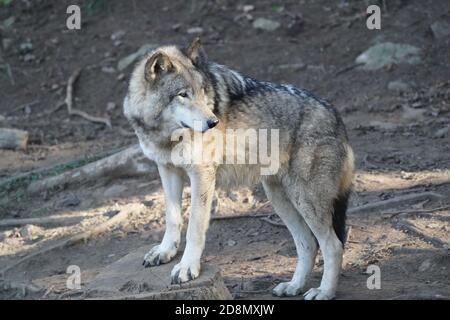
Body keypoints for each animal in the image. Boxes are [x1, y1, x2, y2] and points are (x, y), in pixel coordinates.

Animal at [124, 38, 356, 300]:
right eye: (183, 95)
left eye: (202, 93)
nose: (213, 122)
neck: (165, 136)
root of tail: (336, 115)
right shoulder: (167, 170)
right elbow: (172, 218)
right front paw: (165, 251)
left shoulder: (202, 175)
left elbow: (194, 226)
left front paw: (187, 267)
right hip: (279, 198)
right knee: (308, 243)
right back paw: (294, 286)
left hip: (304, 199)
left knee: (333, 245)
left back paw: (324, 292)